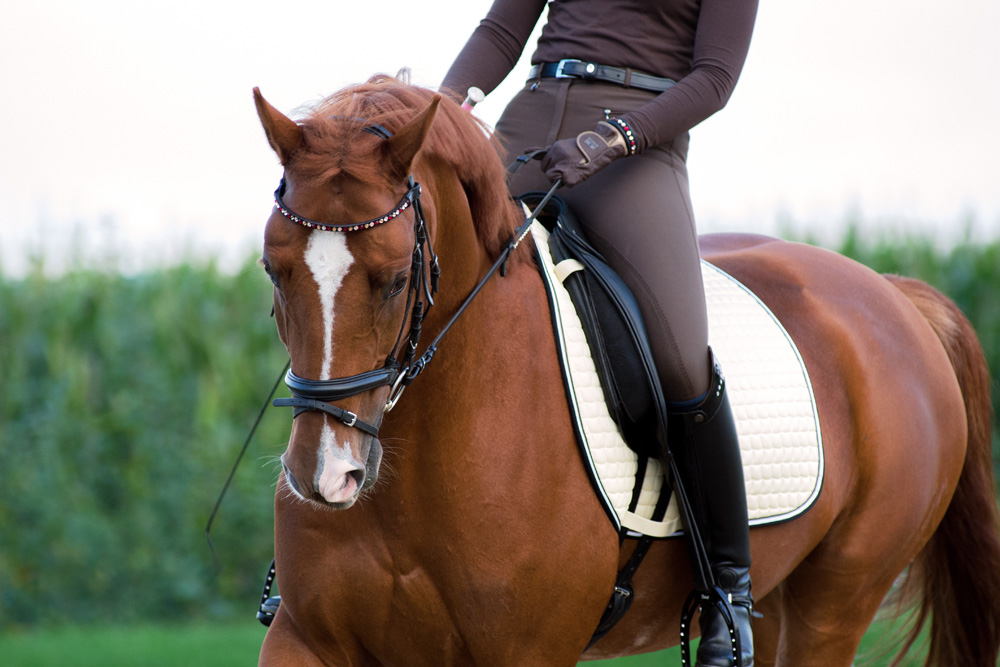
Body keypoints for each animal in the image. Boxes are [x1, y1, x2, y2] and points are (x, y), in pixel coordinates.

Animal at [254, 75, 1000, 664]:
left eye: (395, 279)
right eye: (272, 268)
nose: (326, 476)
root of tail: (894, 293)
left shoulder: (524, 650)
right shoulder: (305, 638)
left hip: (839, 597)